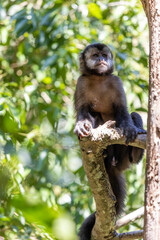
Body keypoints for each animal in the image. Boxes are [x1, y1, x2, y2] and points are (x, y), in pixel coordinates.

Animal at [74, 43, 146, 240]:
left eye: (105, 55)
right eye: (95, 56)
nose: (101, 60)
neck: (98, 78)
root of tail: (114, 164)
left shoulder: (116, 81)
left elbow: (123, 110)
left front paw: (130, 127)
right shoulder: (81, 83)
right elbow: (83, 111)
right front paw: (81, 126)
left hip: (124, 158)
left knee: (134, 116)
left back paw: (136, 151)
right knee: (96, 116)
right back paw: (105, 152)